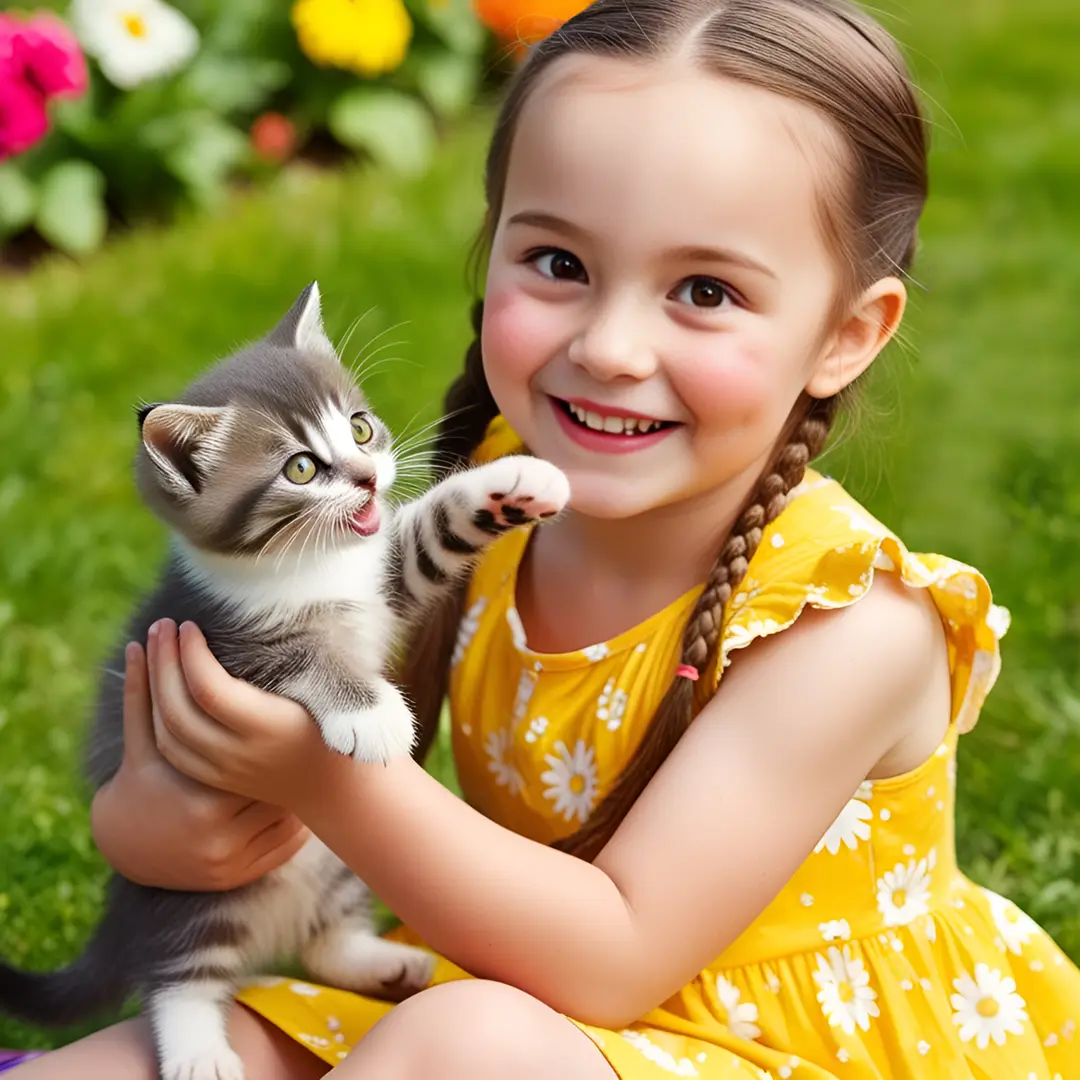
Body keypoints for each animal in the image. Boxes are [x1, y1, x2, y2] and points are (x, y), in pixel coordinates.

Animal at [0, 282, 574, 1075]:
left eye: (360, 430)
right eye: (300, 469)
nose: (368, 478)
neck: (311, 565)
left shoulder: (384, 580)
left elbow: (426, 534)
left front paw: (512, 482)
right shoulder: (218, 643)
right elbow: (304, 657)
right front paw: (371, 712)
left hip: (337, 857)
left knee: (321, 946)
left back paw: (379, 963)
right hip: (188, 884)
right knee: (178, 971)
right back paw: (196, 1048)